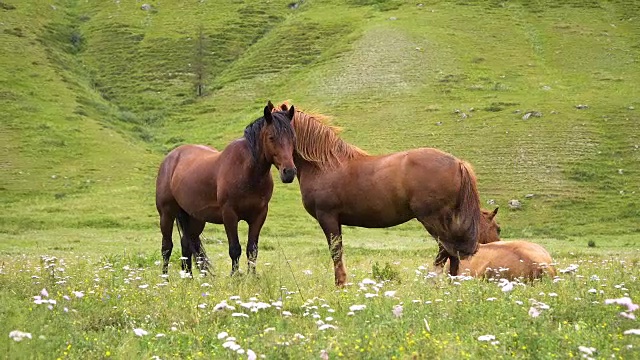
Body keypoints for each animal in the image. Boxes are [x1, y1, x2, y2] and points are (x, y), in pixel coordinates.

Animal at [155, 101, 298, 276]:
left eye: (293, 137)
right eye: (271, 137)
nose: (289, 172)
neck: (247, 172)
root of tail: (171, 158)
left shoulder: (259, 215)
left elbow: (252, 249)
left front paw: (252, 277)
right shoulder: (229, 214)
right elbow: (235, 249)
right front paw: (235, 277)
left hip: (195, 218)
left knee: (186, 245)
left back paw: (188, 278)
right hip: (166, 214)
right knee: (166, 247)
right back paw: (165, 278)